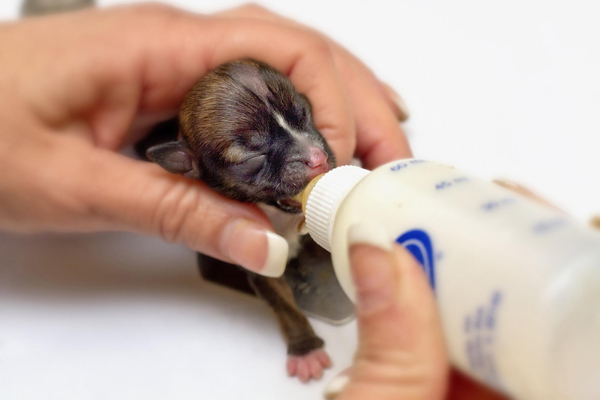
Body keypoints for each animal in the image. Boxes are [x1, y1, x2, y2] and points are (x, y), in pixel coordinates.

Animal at [144, 59, 336, 382]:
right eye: (252, 156)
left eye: (305, 113)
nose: (317, 157)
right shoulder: (262, 258)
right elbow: (283, 304)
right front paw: (306, 349)